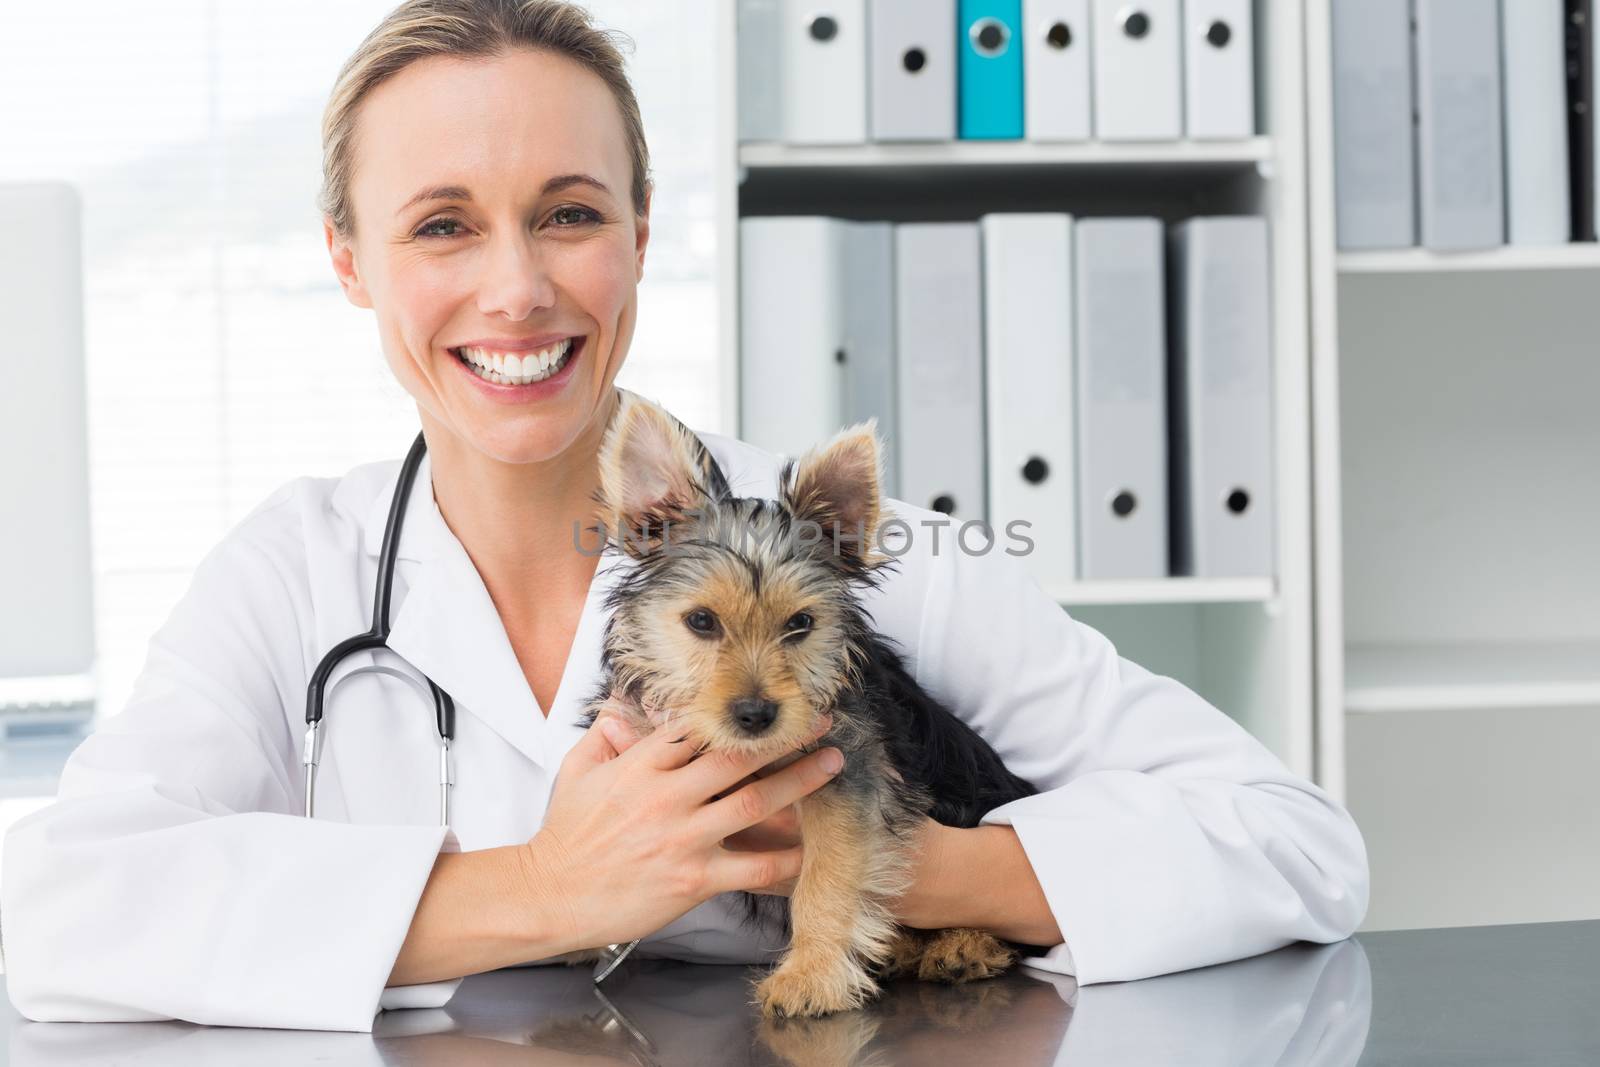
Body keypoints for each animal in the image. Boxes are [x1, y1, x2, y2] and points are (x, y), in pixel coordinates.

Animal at [576, 391, 1036, 1017]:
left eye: (800, 625)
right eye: (701, 622)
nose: (755, 715)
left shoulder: (850, 773)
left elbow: (828, 871)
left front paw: (811, 975)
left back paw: (963, 946)